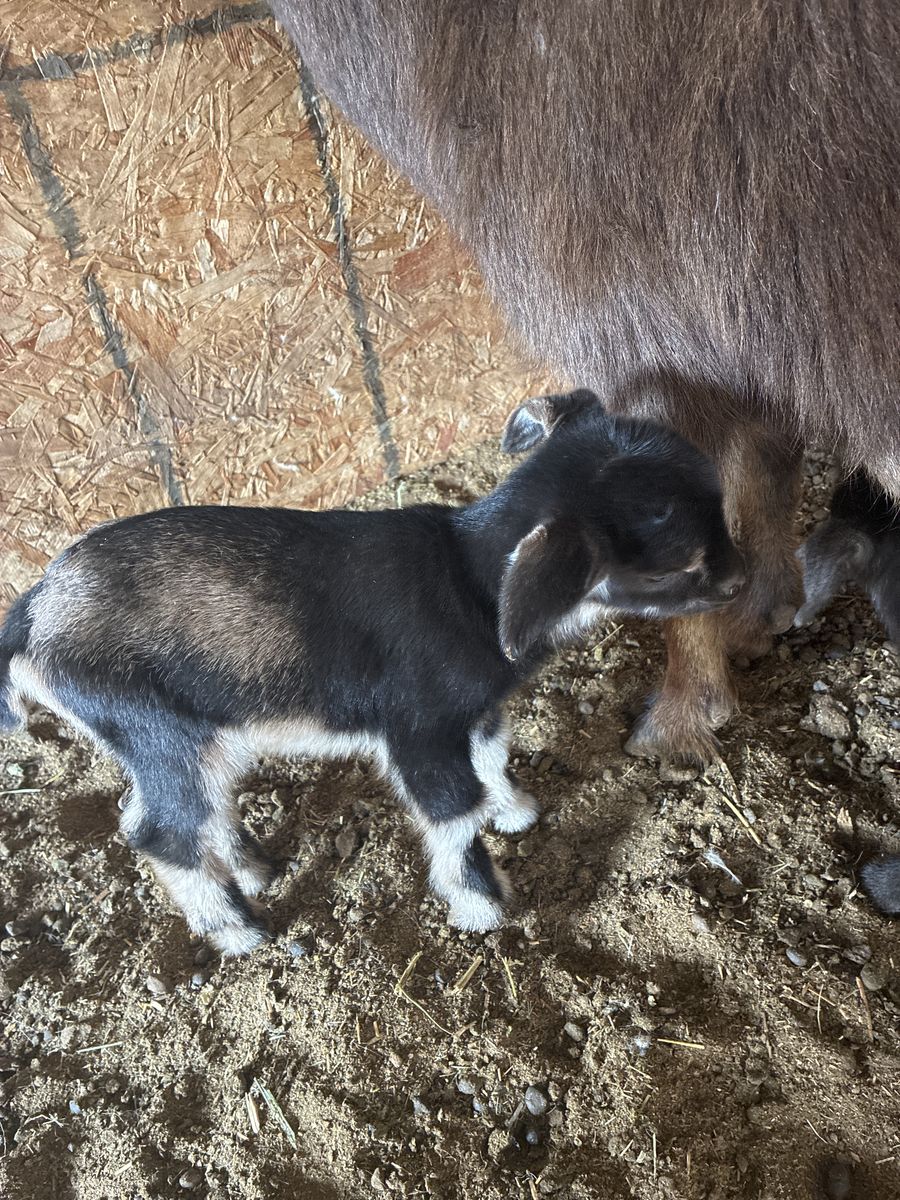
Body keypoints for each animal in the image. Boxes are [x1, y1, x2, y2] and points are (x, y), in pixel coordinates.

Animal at [0, 390, 743, 954]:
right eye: (670, 568)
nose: (740, 583)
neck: (469, 584)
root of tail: (35, 610)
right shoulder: (418, 728)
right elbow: (454, 810)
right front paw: (484, 907)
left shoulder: (473, 713)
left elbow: (492, 760)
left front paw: (516, 813)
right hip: (156, 730)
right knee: (160, 832)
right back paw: (239, 932)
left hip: (193, 736)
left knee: (178, 811)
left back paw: (255, 869)